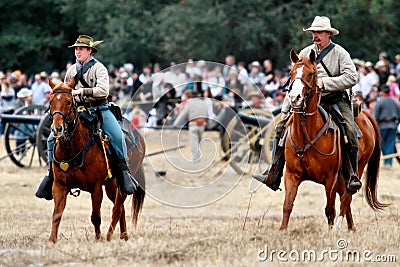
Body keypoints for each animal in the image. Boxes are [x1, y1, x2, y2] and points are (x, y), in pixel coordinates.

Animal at [47, 77, 145, 243]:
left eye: (69, 102)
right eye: (51, 101)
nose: (57, 129)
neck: (73, 148)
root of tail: (138, 134)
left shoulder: (96, 187)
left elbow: (95, 217)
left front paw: (98, 239)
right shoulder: (59, 186)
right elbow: (56, 215)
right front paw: (52, 240)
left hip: (121, 183)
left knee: (117, 207)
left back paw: (109, 236)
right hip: (112, 184)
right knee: (121, 208)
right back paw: (123, 236)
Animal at [282, 50, 388, 232]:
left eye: (311, 73)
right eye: (291, 73)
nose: (295, 97)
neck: (306, 134)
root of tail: (366, 115)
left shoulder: (329, 178)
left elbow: (330, 209)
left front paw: (331, 232)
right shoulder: (291, 175)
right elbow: (287, 205)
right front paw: (282, 231)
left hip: (357, 169)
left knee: (347, 198)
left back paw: (339, 226)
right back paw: (351, 228)